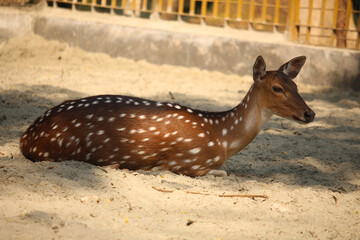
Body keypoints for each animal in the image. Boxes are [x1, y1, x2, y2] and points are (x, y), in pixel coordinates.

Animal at [19, 55, 316, 176]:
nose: (310, 113)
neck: (222, 138)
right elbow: (223, 173)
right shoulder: (186, 162)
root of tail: (25, 138)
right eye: (277, 88)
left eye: (296, 86)